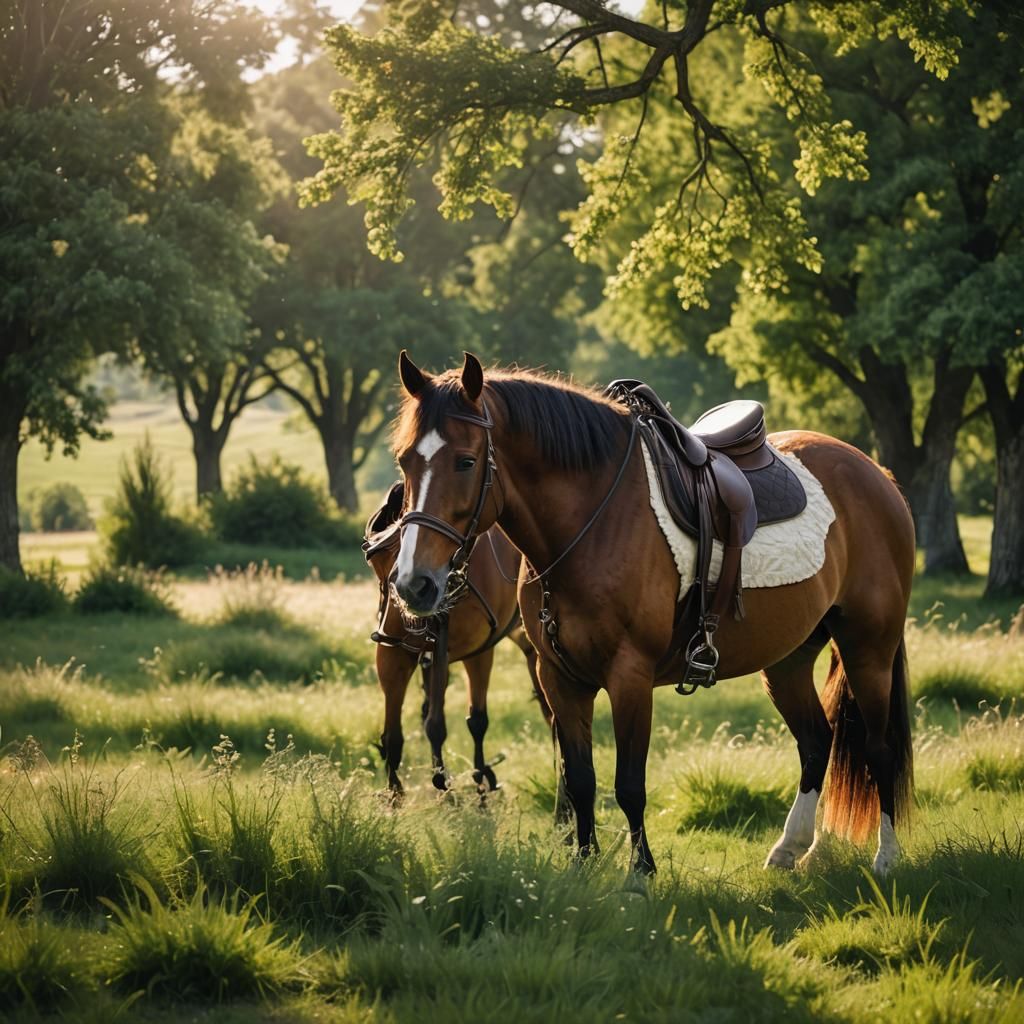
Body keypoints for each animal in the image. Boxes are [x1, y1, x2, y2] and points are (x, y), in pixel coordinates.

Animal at [364, 481, 551, 796]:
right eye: (378, 559)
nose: (409, 608)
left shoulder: (478, 652)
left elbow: (473, 721)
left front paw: (478, 783)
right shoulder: (396, 652)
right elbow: (396, 734)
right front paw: (396, 792)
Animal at [388, 351, 916, 877]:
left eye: (466, 460)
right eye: (404, 460)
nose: (414, 584)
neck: (592, 521)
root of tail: (877, 474)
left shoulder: (630, 677)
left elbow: (628, 785)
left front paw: (639, 872)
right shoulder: (560, 678)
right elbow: (580, 779)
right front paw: (584, 864)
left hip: (869, 649)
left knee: (879, 747)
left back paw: (886, 857)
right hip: (788, 659)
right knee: (815, 741)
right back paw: (790, 847)